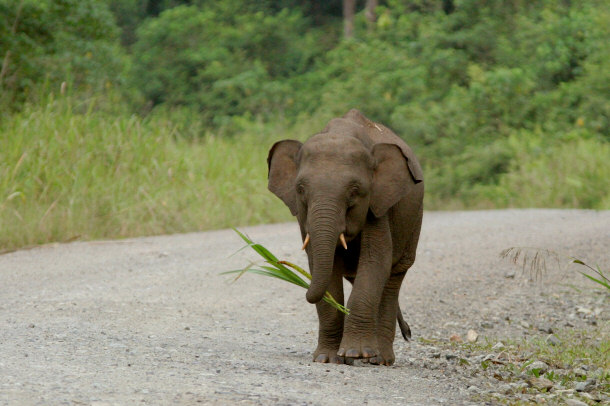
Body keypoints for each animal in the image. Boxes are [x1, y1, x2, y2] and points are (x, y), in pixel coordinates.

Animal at [268, 109, 422, 366]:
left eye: (355, 191)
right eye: (300, 189)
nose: (409, 333)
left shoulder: (378, 206)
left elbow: (375, 261)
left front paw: (354, 354)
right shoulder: (303, 216)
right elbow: (322, 266)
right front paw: (326, 358)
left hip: (413, 225)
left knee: (393, 278)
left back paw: (379, 359)